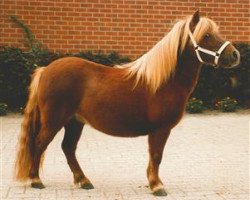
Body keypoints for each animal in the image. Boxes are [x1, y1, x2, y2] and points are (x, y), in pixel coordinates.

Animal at [14, 10, 240, 195]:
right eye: (206, 36)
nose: (235, 55)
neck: (164, 81)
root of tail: (46, 69)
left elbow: (153, 157)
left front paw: (152, 182)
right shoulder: (160, 129)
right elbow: (156, 156)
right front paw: (157, 186)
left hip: (74, 122)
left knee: (68, 148)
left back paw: (84, 180)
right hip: (54, 120)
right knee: (40, 143)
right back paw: (36, 180)